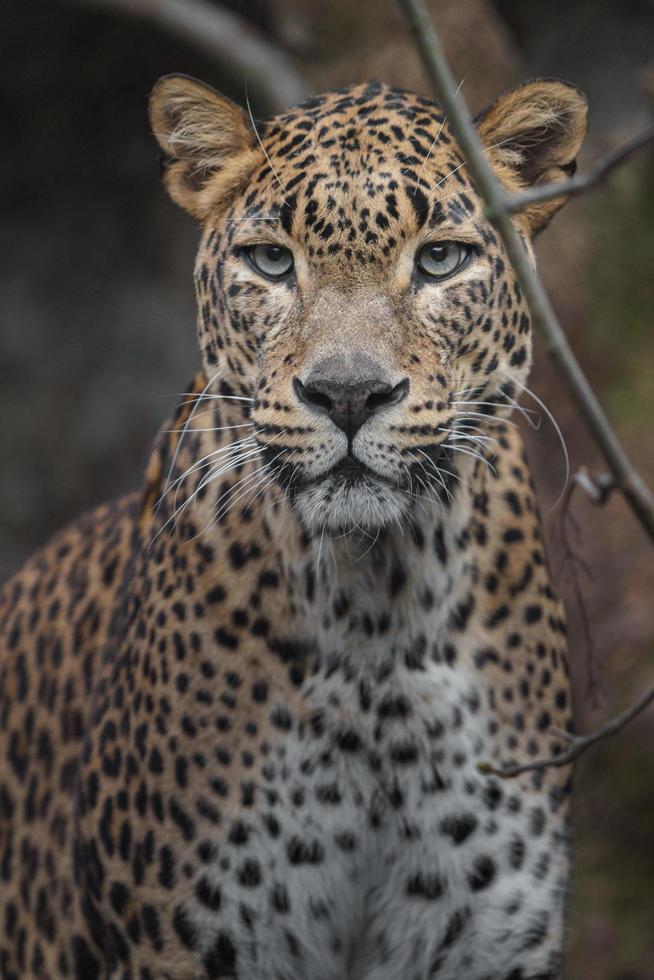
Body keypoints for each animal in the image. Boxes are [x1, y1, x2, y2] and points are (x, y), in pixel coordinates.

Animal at [0, 71, 592, 980]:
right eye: (271, 261)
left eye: (441, 258)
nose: (348, 394)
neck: (378, 609)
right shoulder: (178, 943)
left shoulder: (483, 941)